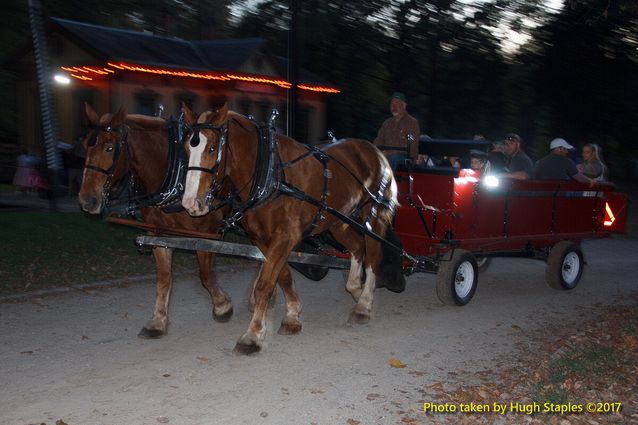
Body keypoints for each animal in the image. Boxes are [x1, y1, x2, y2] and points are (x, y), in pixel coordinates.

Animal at [78, 104, 235, 336]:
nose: (87, 200)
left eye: (109, 148)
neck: (174, 175)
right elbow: (164, 278)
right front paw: (158, 320)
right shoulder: (158, 234)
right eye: (85, 145)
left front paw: (222, 306)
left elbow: (206, 274)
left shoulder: (205, 233)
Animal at [180, 103, 400, 354]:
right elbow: (283, 276)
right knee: (357, 248)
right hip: (338, 221)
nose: (191, 203)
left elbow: (265, 285)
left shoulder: (286, 237)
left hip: (373, 217)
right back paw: (355, 288)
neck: (271, 176)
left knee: (373, 254)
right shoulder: (263, 239)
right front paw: (293, 315)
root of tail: (375, 150)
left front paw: (253, 335)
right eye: (186, 148)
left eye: (212, 148)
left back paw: (364, 304)